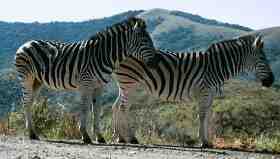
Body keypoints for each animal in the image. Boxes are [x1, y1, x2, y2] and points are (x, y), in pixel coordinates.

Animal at [14, 16, 160, 143]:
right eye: (144, 41)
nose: (156, 62)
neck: (102, 55)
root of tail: (25, 43)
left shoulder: (99, 86)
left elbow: (97, 110)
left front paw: (99, 137)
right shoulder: (86, 84)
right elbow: (85, 108)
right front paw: (85, 135)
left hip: (37, 82)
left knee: (30, 102)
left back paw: (33, 132)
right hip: (26, 78)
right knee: (26, 102)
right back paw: (32, 134)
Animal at [109, 34, 274, 147]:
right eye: (262, 60)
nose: (271, 81)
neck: (216, 67)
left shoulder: (211, 94)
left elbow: (208, 116)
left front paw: (208, 141)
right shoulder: (204, 91)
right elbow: (202, 116)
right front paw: (203, 142)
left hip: (125, 85)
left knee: (116, 106)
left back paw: (120, 137)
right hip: (130, 83)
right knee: (123, 108)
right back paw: (131, 138)